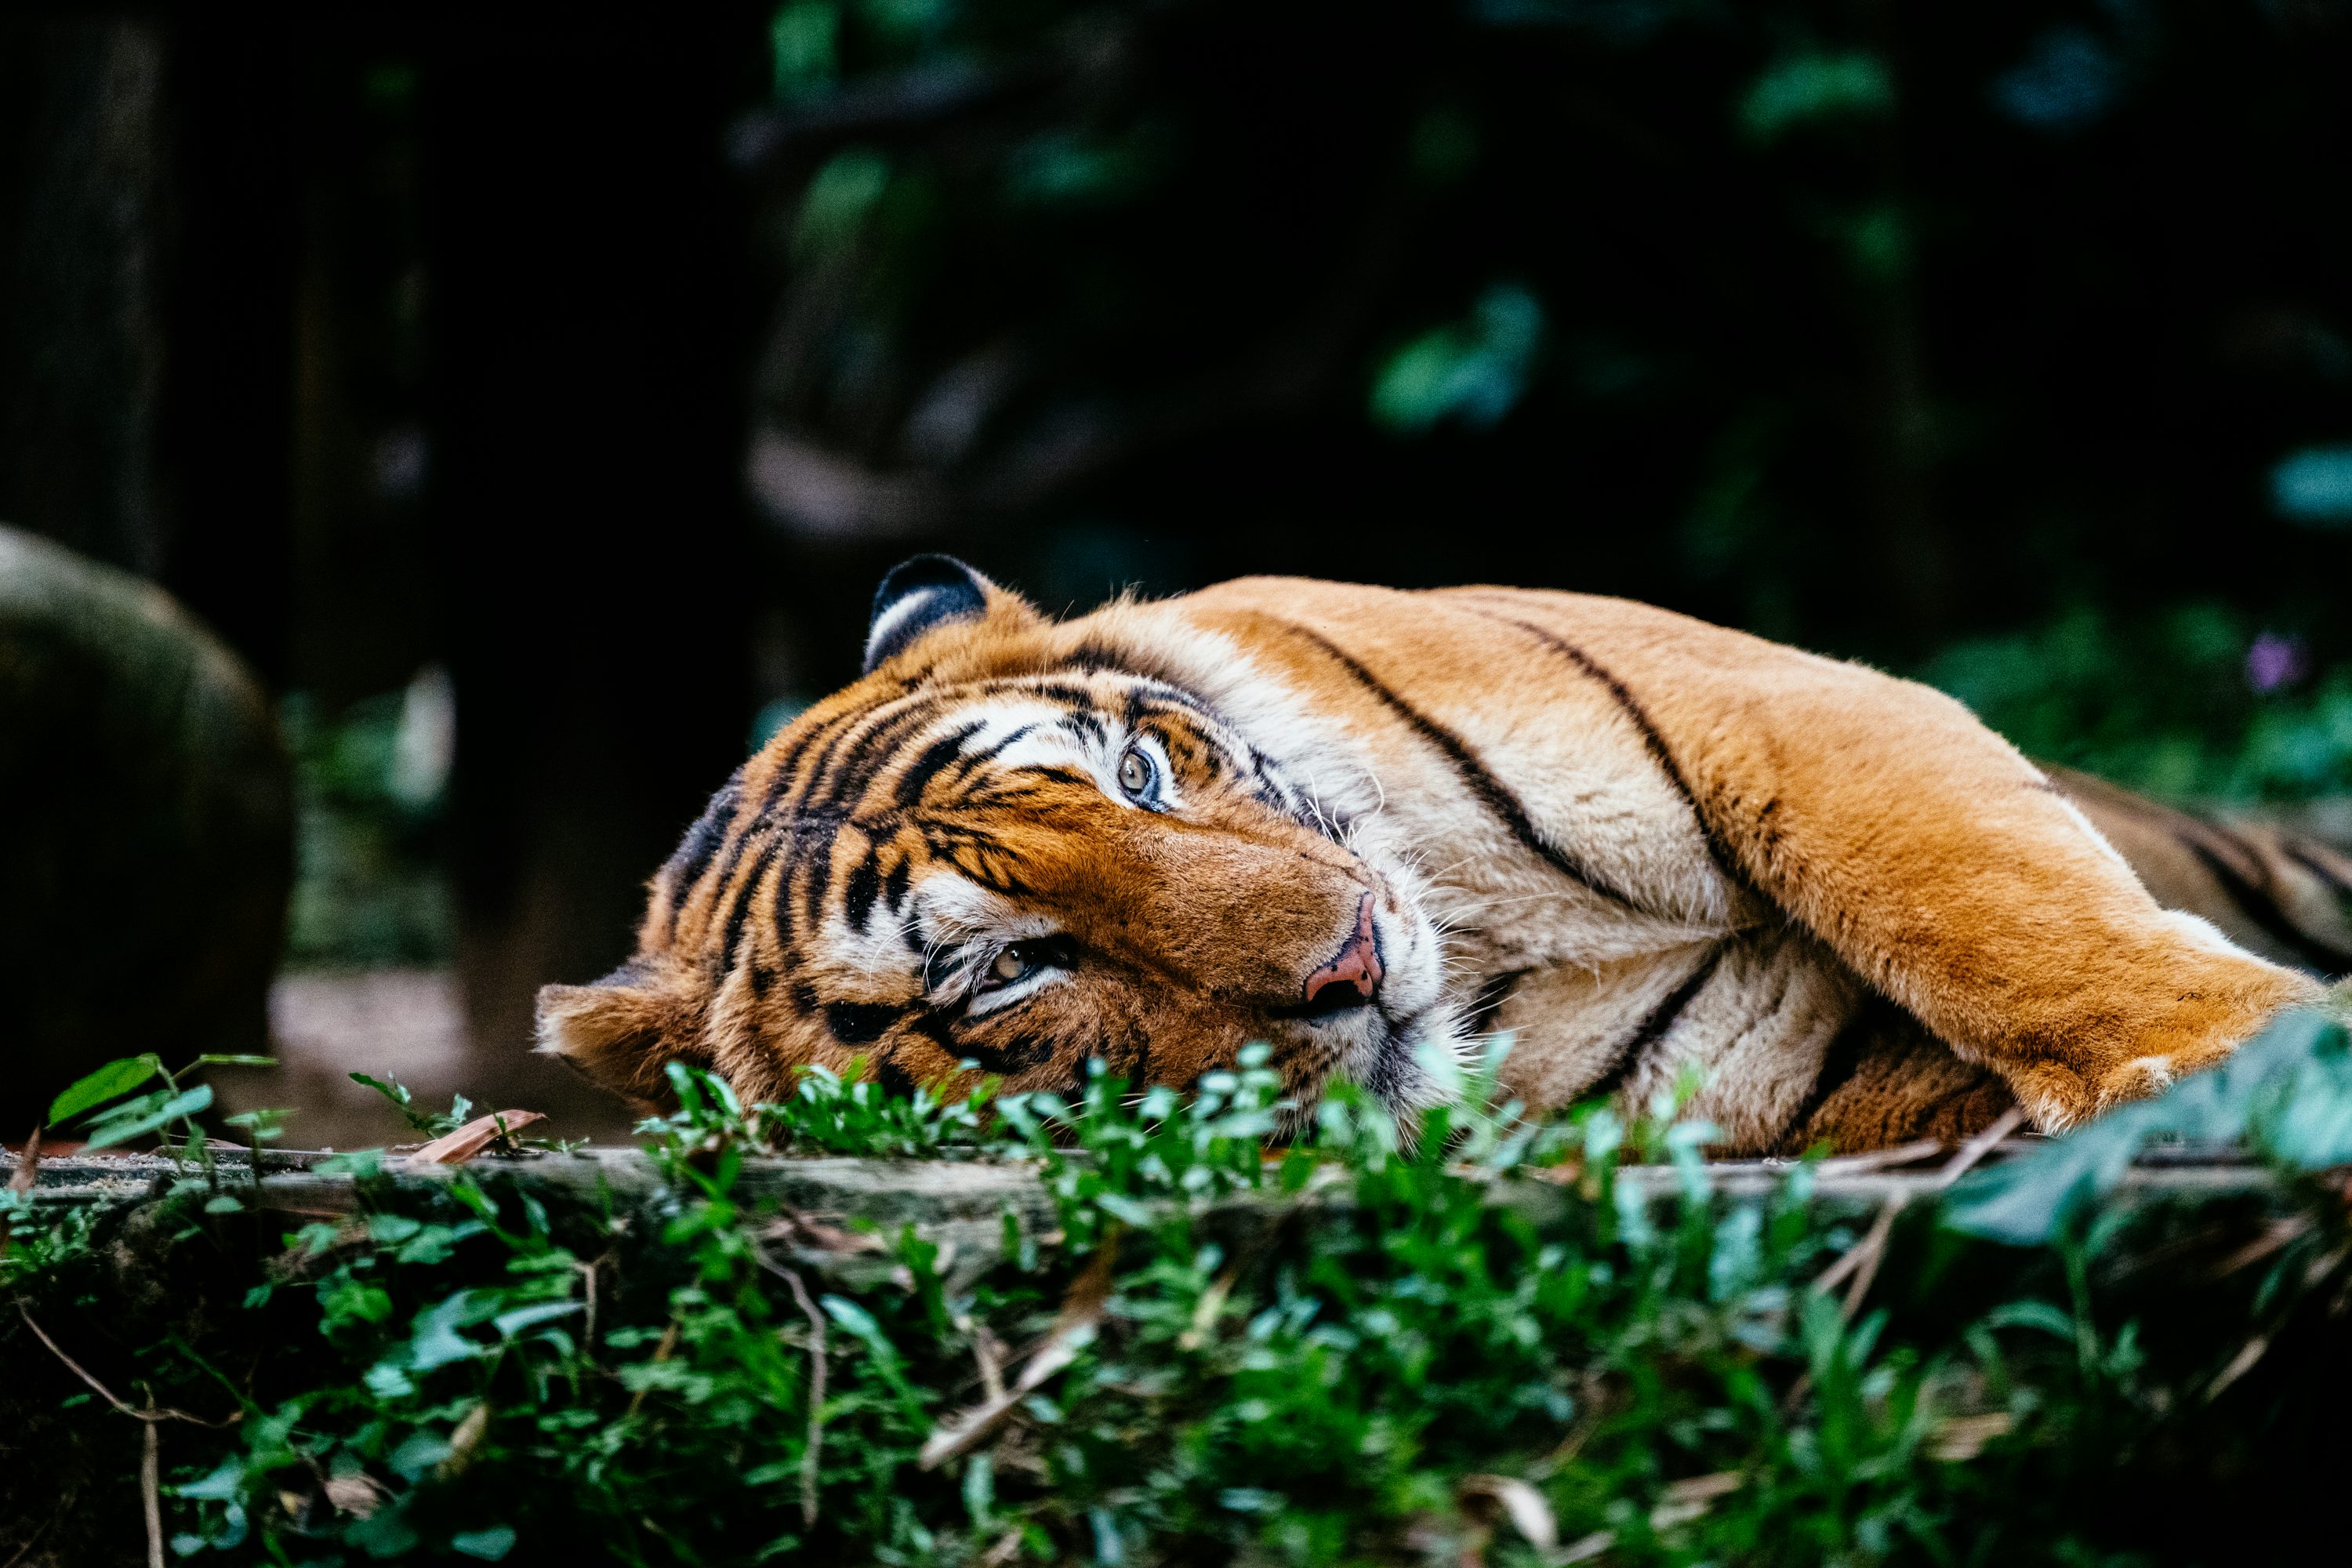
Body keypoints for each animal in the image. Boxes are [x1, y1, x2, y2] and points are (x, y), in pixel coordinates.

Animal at [536, 556, 2351, 1153]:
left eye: (1141, 772)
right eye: (1010, 968)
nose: (1352, 958)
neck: (1489, 951)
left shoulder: (1794, 713)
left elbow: (1991, 914)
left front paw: (2253, 1055)